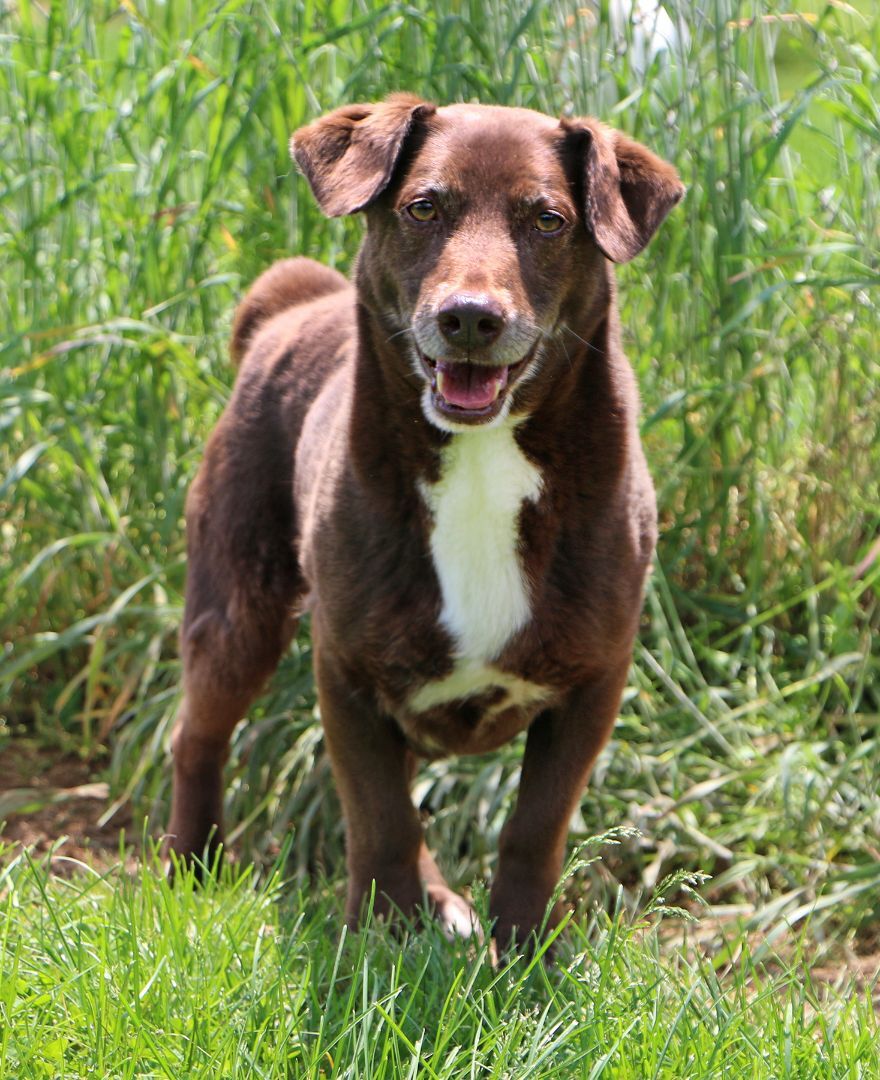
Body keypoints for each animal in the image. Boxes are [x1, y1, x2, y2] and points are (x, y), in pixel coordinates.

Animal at [167, 95, 686, 946]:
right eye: (422, 208)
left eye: (548, 220)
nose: (469, 317)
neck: (482, 460)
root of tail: (286, 308)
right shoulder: (347, 668)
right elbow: (379, 817)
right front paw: (378, 937)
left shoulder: (593, 680)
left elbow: (534, 827)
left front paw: (522, 948)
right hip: (237, 607)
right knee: (199, 735)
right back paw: (189, 868)